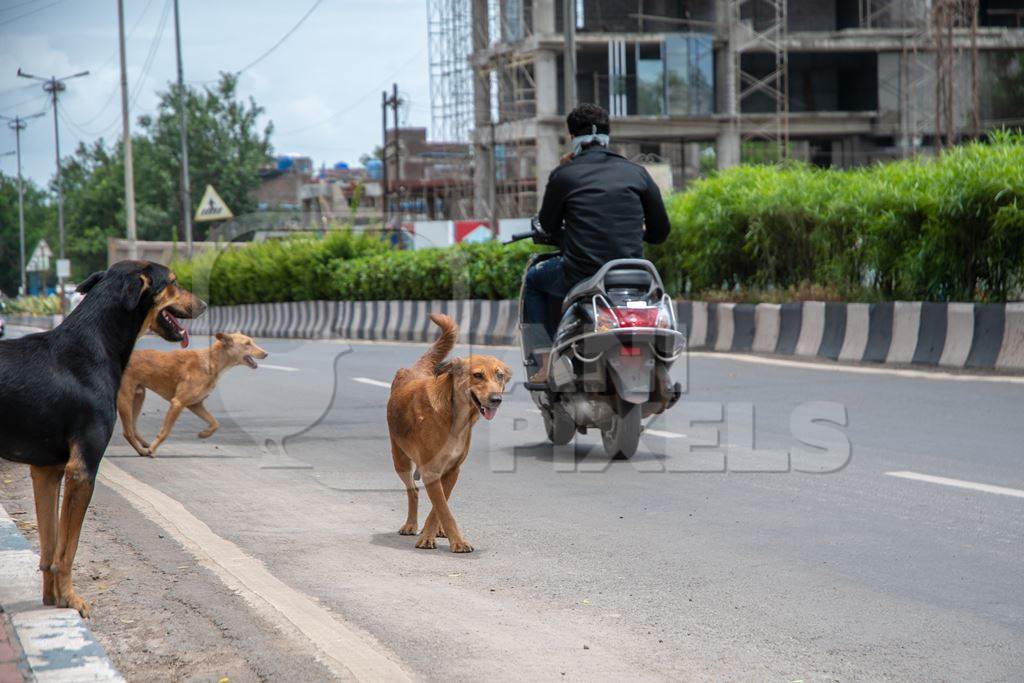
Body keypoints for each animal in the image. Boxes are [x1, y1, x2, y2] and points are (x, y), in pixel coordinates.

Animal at [0, 260, 203, 614]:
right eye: (173, 282)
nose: (204, 304)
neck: (91, 346)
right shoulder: (81, 471)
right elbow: (67, 551)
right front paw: (70, 599)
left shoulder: (46, 471)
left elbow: (50, 550)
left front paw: (52, 600)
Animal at [117, 329, 268, 454]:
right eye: (247, 344)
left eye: (252, 341)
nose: (266, 354)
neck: (211, 362)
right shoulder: (177, 403)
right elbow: (165, 431)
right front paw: (153, 449)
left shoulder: (195, 404)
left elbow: (215, 423)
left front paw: (204, 434)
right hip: (125, 399)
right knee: (127, 432)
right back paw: (144, 450)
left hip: (139, 396)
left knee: (132, 428)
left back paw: (144, 445)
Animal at [385, 313, 509, 552]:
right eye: (477, 375)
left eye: (499, 376)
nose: (496, 399)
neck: (455, 417)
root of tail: (414, 370)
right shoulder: (431, 471)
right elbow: (443, 508)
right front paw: (454, 541)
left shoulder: (452, 470)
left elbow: (440, 508)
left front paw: (433, 533)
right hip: (400, 460)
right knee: (413, 491)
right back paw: (411, 524)